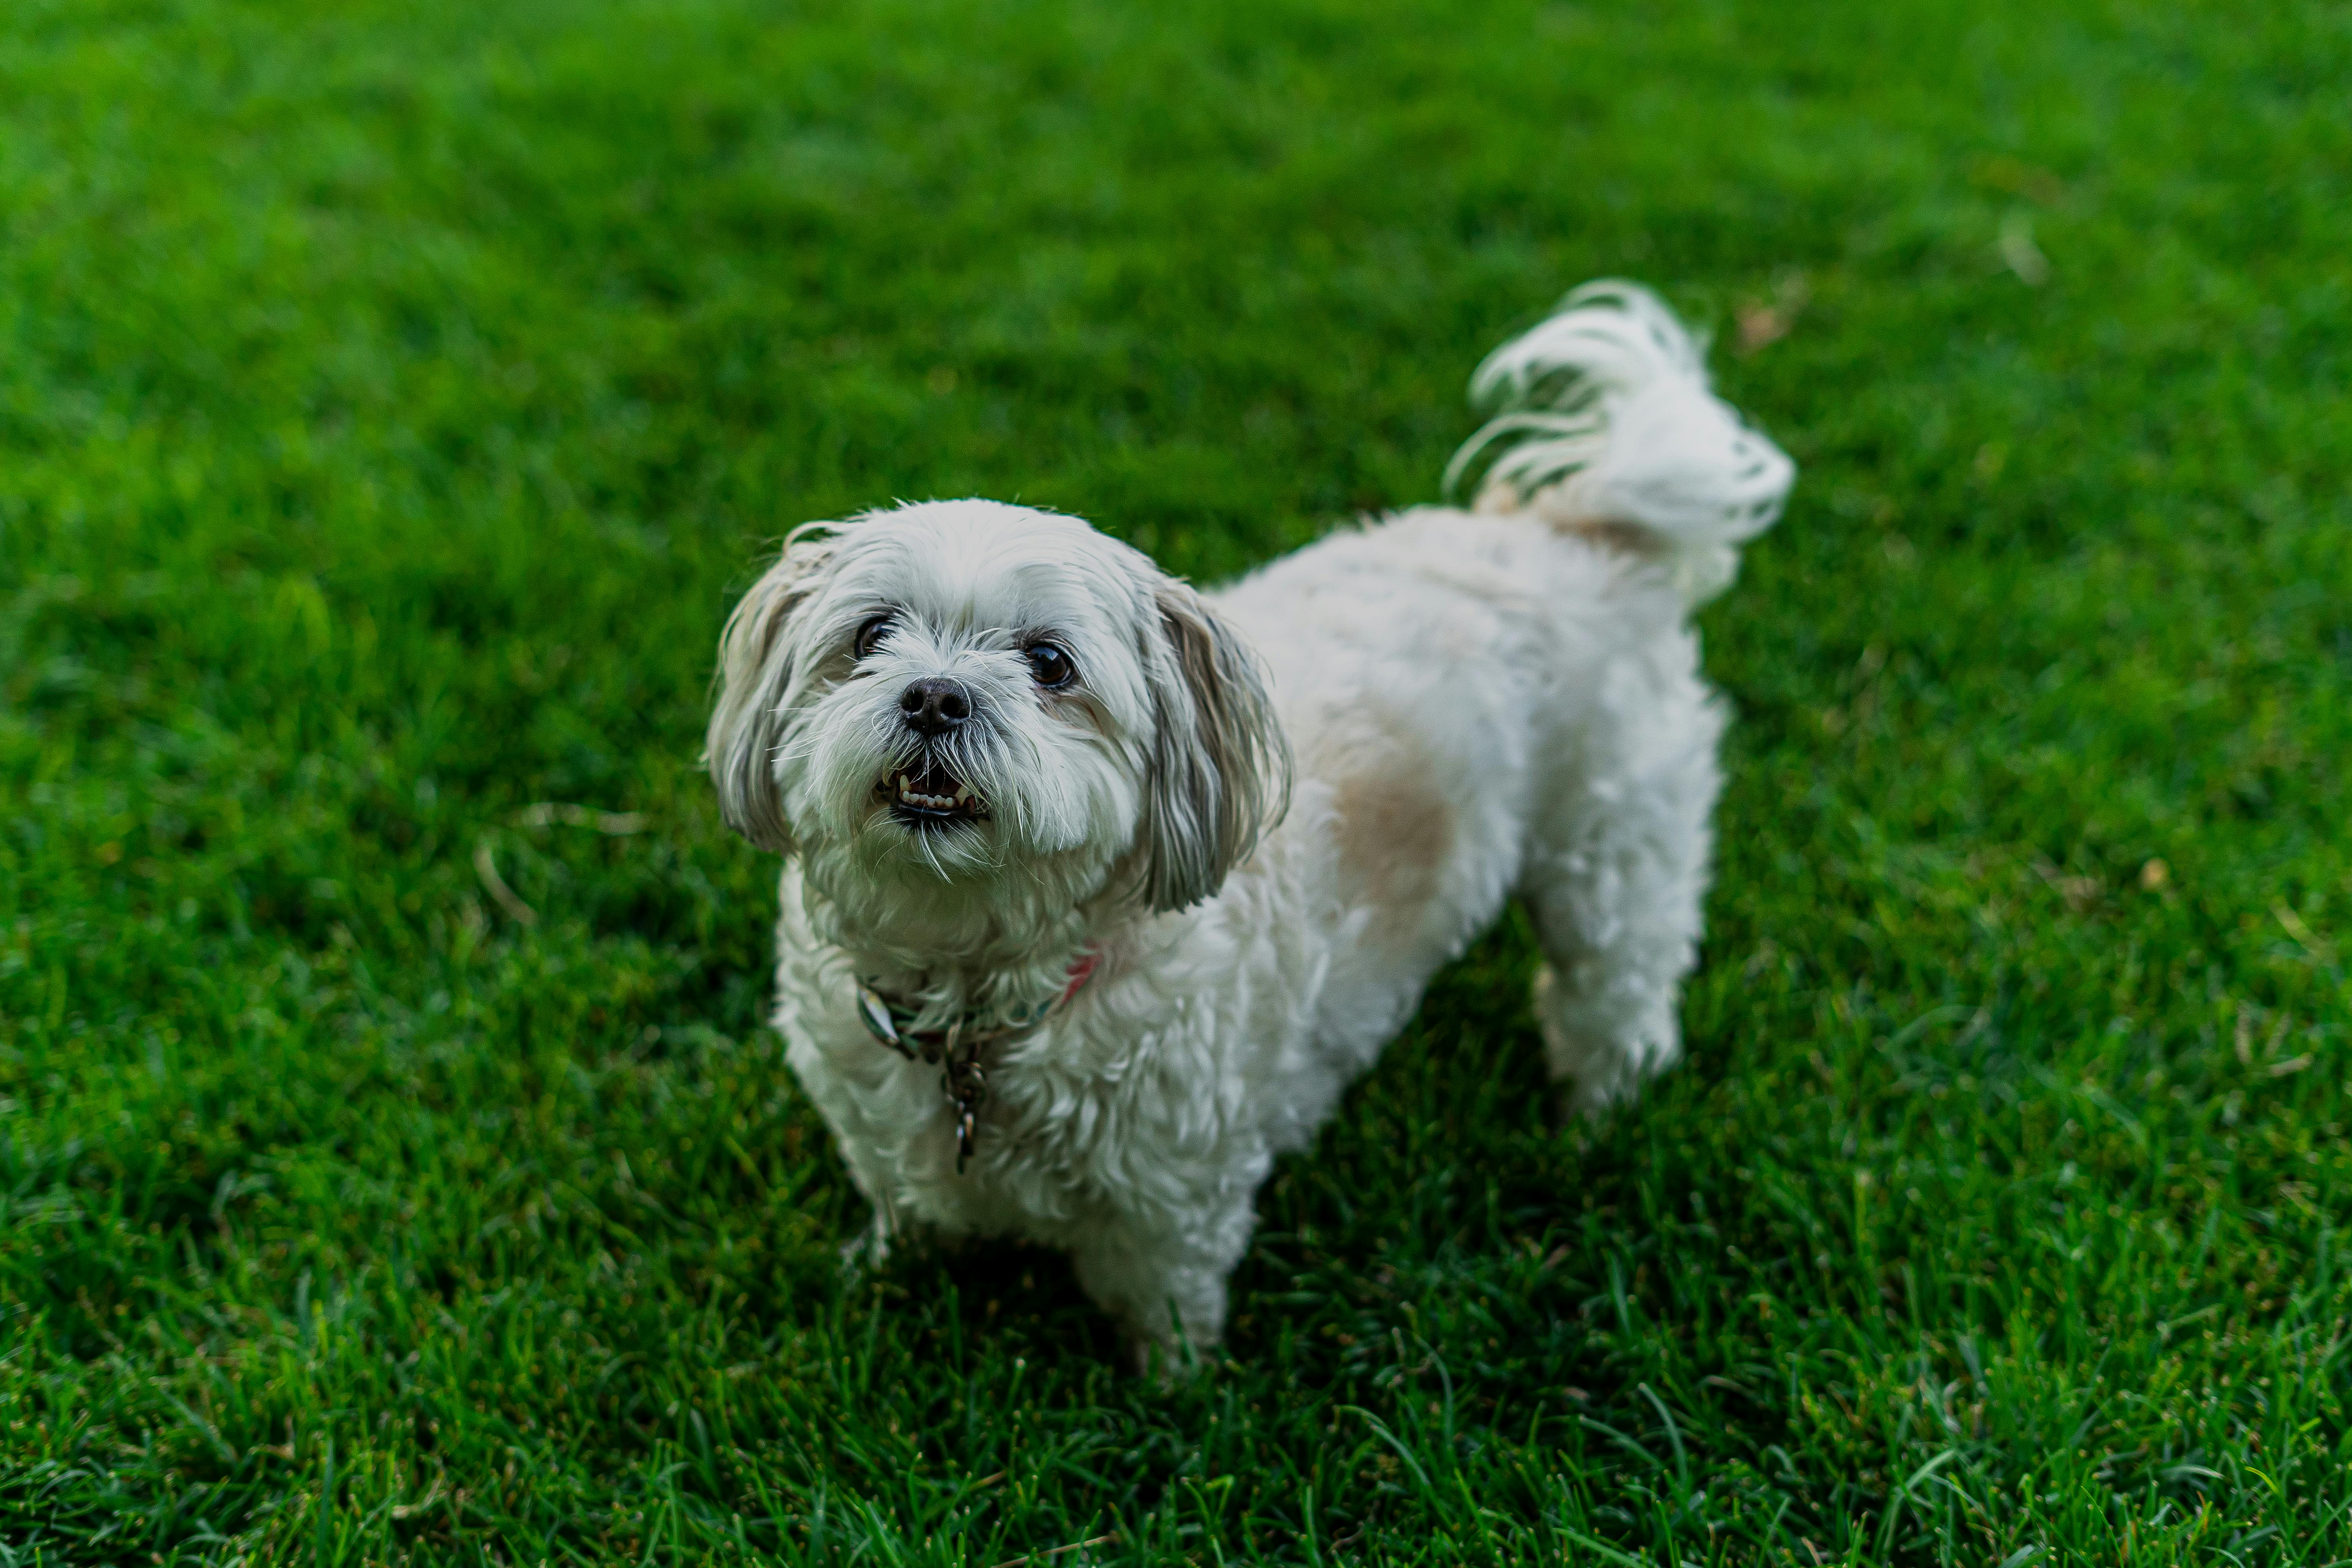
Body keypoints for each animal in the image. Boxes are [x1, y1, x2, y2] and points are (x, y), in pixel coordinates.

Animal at [706, 282, 1788, 1363]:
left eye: (1050, 663)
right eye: (872, 636)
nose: (934, 696)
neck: (977, 1001)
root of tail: (1582, 526)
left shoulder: (1173, 1194)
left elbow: (1166, 1303)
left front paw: (1172, 1383)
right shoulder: (876, 1126)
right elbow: (902, 1206)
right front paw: (878, 1276)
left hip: (1615, 845)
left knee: (1615, 988)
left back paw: (1603, 1115)